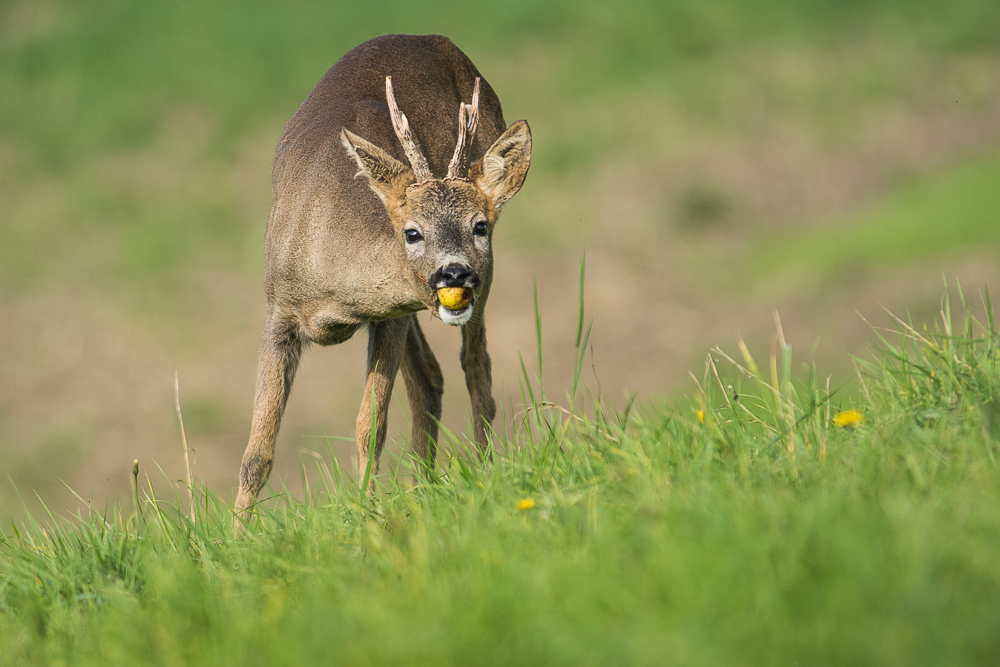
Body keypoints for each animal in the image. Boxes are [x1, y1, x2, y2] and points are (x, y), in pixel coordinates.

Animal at [236, 34, 532, 520]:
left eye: (479, 226)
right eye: (412, 232)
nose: (455, 272)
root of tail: (434, 38)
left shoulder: (389, 317)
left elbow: (369, 428)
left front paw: (366, 516)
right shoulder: (278, 310)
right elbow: (257, 452)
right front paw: (237, 535)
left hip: (476, 287)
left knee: (475, 368)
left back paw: (483, 474)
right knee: (430, 378)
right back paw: (424, 485)